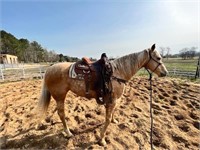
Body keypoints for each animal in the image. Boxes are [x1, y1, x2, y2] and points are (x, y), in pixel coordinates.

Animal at [37, 43, 167, 145]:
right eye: (158, 58)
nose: (165, 73)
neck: (117, 73)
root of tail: (49, 69)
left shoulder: (115, 99)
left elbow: (114, 112)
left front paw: (114, 121)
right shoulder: (112, 100)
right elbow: (107, 119)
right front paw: (102, 139)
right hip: (60, 97)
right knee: (61, 114)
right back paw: (68, 133)